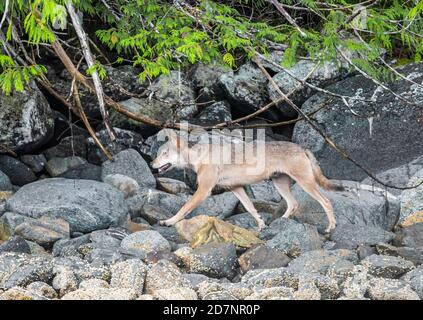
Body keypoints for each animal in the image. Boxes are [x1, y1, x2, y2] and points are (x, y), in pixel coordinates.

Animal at [150, 129, 344, 232]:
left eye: (164, 153)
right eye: (159, 153)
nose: (151, 164)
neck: (199, 156)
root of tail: (302, 148)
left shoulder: (204, 190)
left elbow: (184, 208)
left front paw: (168, 221)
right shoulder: (236, 188)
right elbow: (251, 209)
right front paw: (261, 225)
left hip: (306, 184)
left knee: (326, 201)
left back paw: (331, 227)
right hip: (280, 184)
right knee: (293, 204)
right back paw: (279, 223)